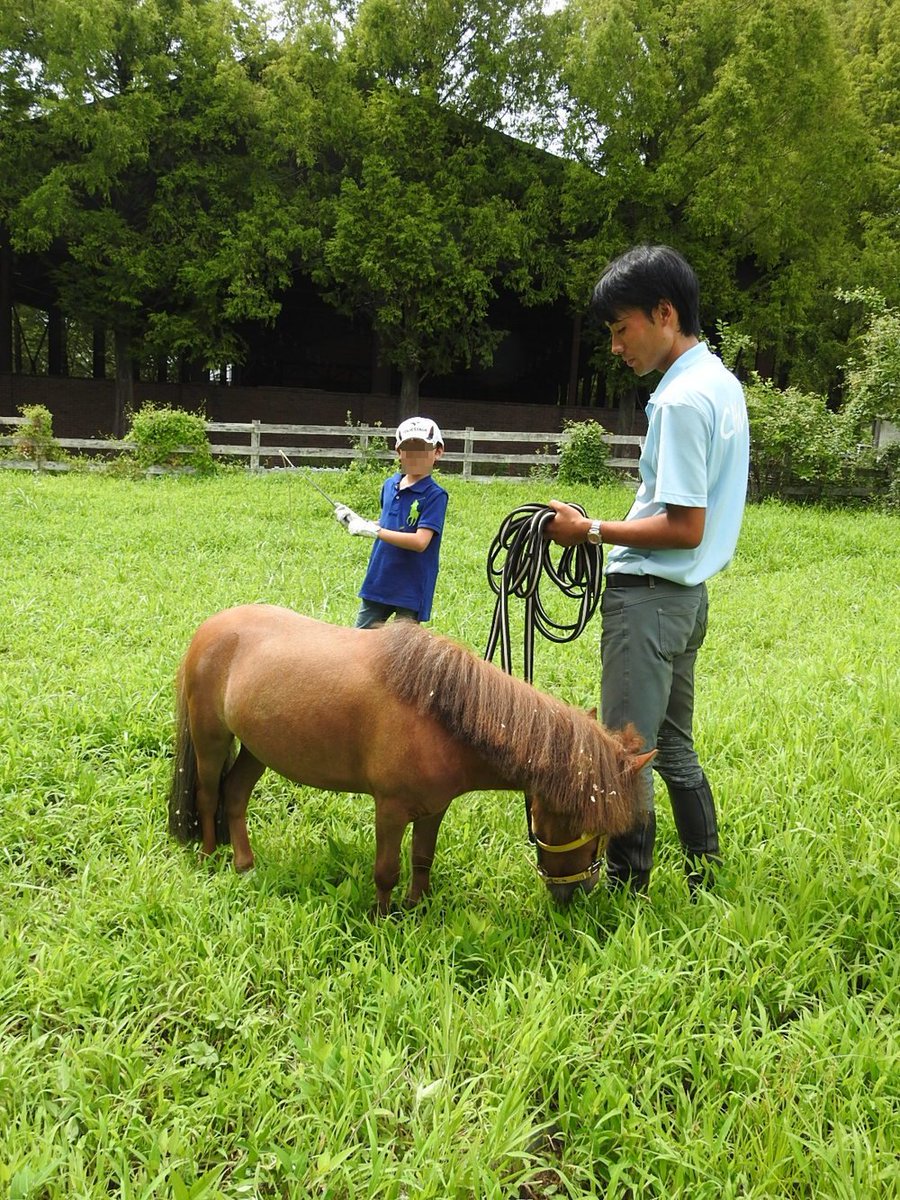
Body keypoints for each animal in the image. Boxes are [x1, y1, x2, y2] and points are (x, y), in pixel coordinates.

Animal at [165, 604, 652, 912]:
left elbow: (421, 859)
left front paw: (416, 908)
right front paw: (384, 919)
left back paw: (244, 865)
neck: (439, 711)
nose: (577, 893)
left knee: (235, 796)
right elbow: (386, 870)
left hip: (255, 748)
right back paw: (208, 858)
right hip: (211, 740)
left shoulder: (433, 809)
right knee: (209, 796)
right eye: (583, 820)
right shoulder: (391, 809)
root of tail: (210, 628)